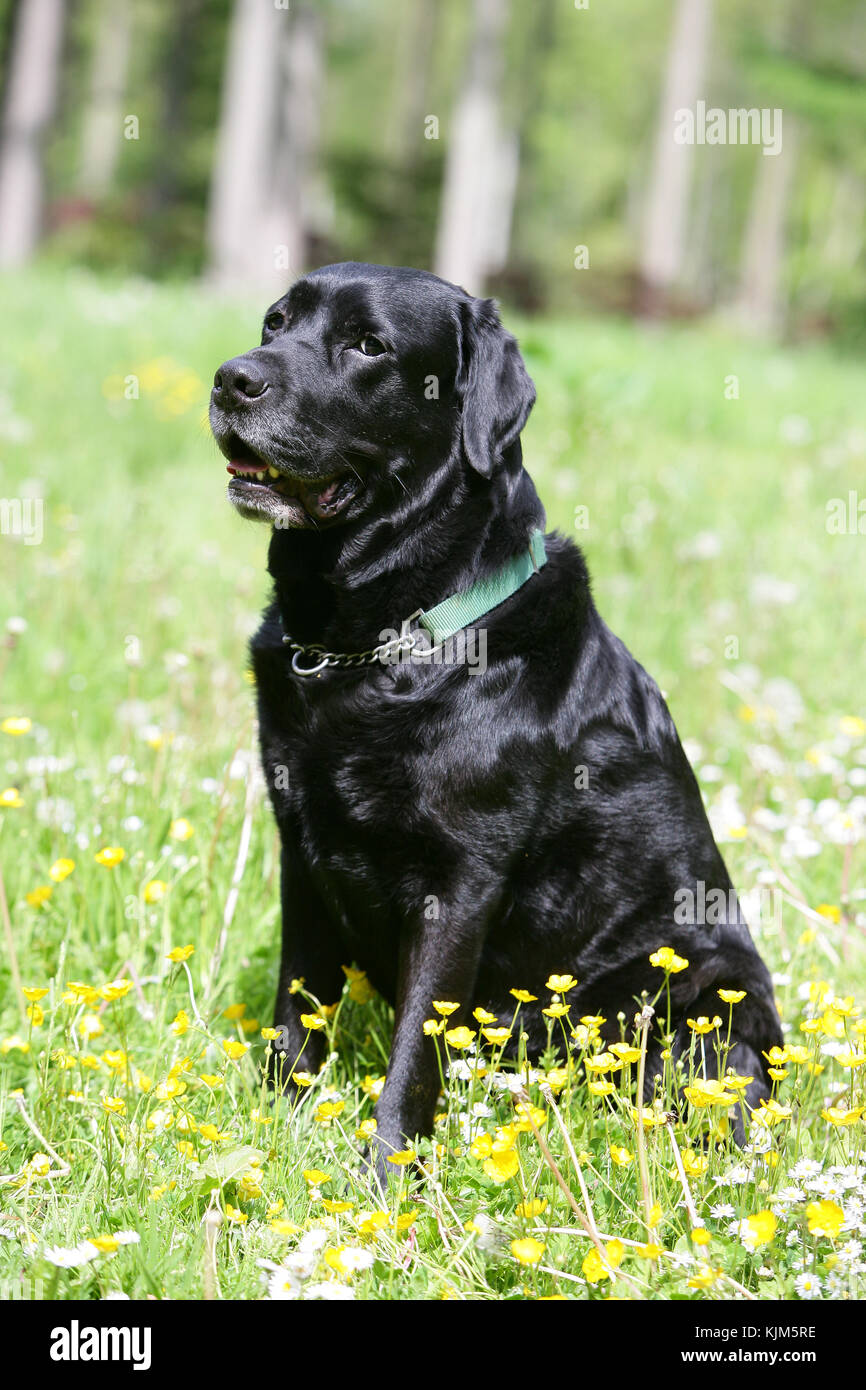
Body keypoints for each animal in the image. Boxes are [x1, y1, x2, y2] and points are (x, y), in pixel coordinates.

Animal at [209, 258, 783, 1173]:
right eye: (275, 323)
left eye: (369, 345)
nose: (233, 379)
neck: (383, 640)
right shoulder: (301, 850)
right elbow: (295, 1014)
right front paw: (275, 1125)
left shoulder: (459, 881)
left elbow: (414, 1050)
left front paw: (386, 1180)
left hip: (705, 992)